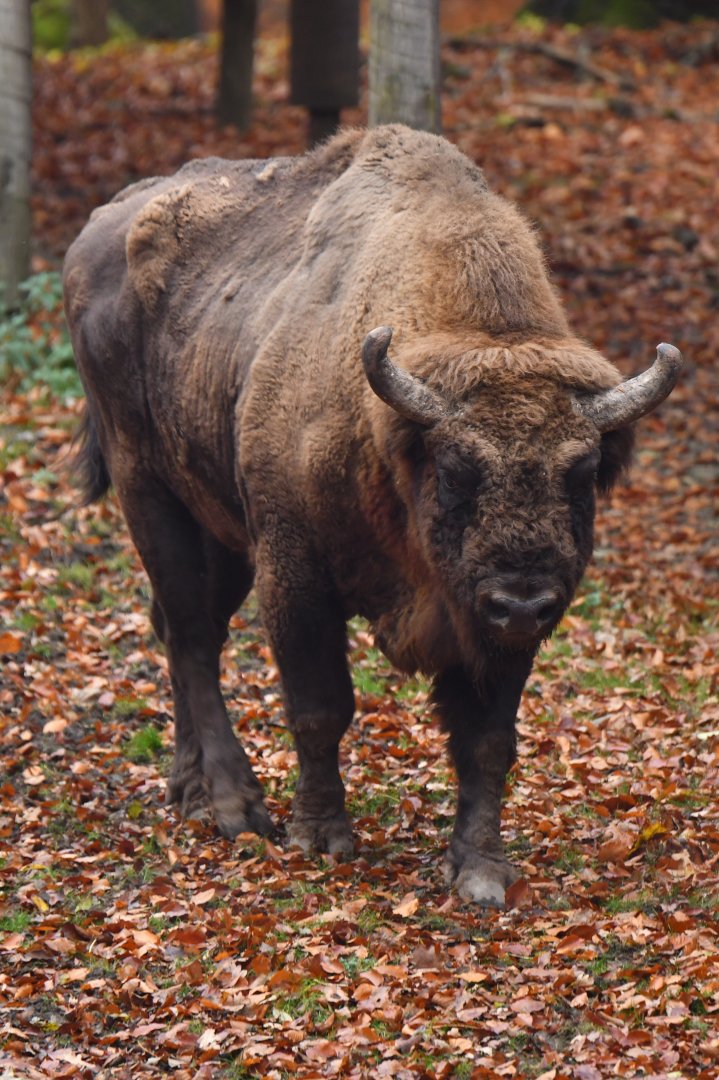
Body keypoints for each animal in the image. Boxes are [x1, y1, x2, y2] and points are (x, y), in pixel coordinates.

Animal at [63, 125, 681, 905]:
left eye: (581, 473)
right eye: (455, 469)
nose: (519, 601)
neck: (391, 445)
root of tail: (96, 229)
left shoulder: (494, 628)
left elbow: (486, 739)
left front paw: (480, 870)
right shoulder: (294, 574)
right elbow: (321, 705)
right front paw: (320, 836)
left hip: (221, 528)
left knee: (177, 630)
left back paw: (190, 791)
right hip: (148, 492)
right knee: (193, 636)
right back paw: (234, 805)